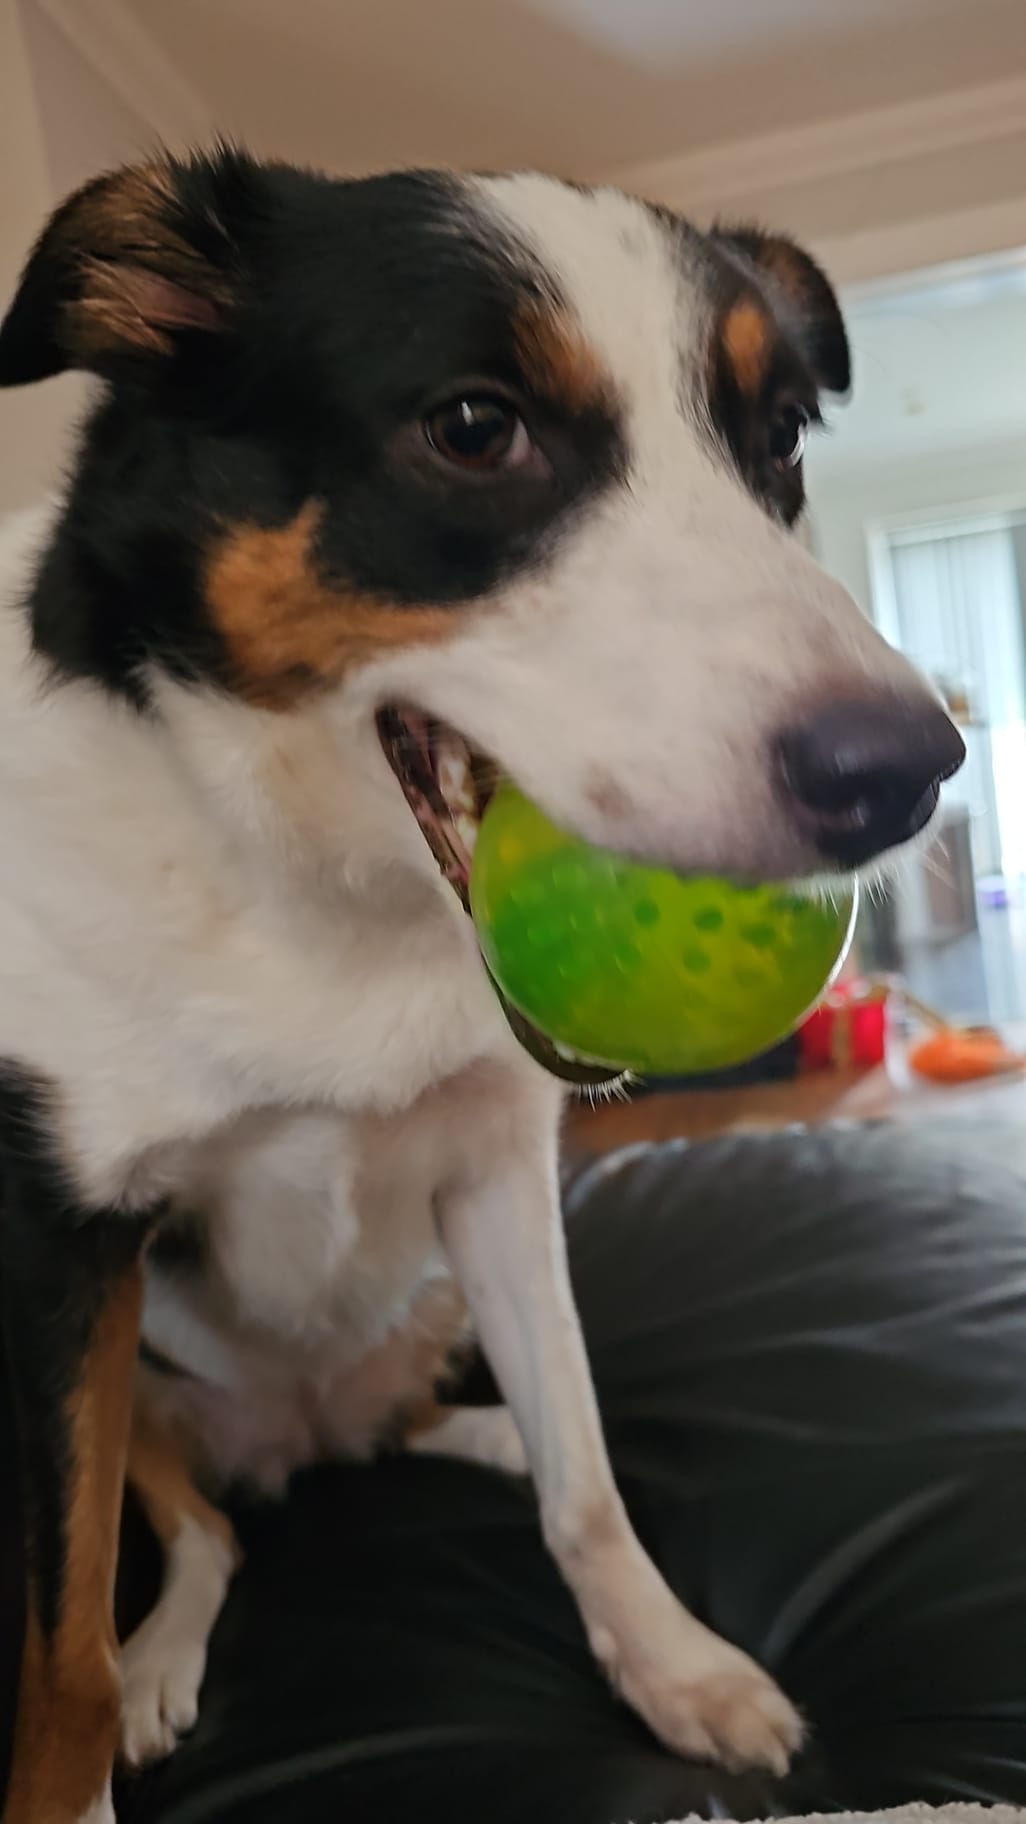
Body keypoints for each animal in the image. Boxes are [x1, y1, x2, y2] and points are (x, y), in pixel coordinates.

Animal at [0, 145, 956, 1824]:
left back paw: (486, 1436)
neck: (312, 893)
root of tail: (304, 1441)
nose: (908, 772)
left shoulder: (500, 1172)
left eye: (774, 436)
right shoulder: (60, 1251)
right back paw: (168, 1659)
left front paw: (671, 1664)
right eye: (471, 428)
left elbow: (586, 1489)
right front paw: (78, 1764)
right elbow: (63, 1654)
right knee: (199, 1533)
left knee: (451, 1423)